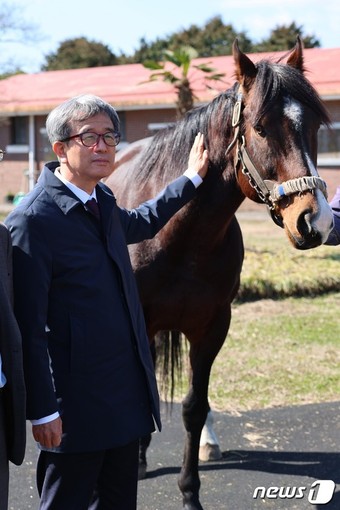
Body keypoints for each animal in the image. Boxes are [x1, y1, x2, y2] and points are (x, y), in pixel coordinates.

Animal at [105, 39, 334, 510]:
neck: (180, 231)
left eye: (317, 127)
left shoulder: (213, 326)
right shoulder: (142, 321)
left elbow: (195, 407)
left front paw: (190, 491)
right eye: (260, 128)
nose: (315, 222)